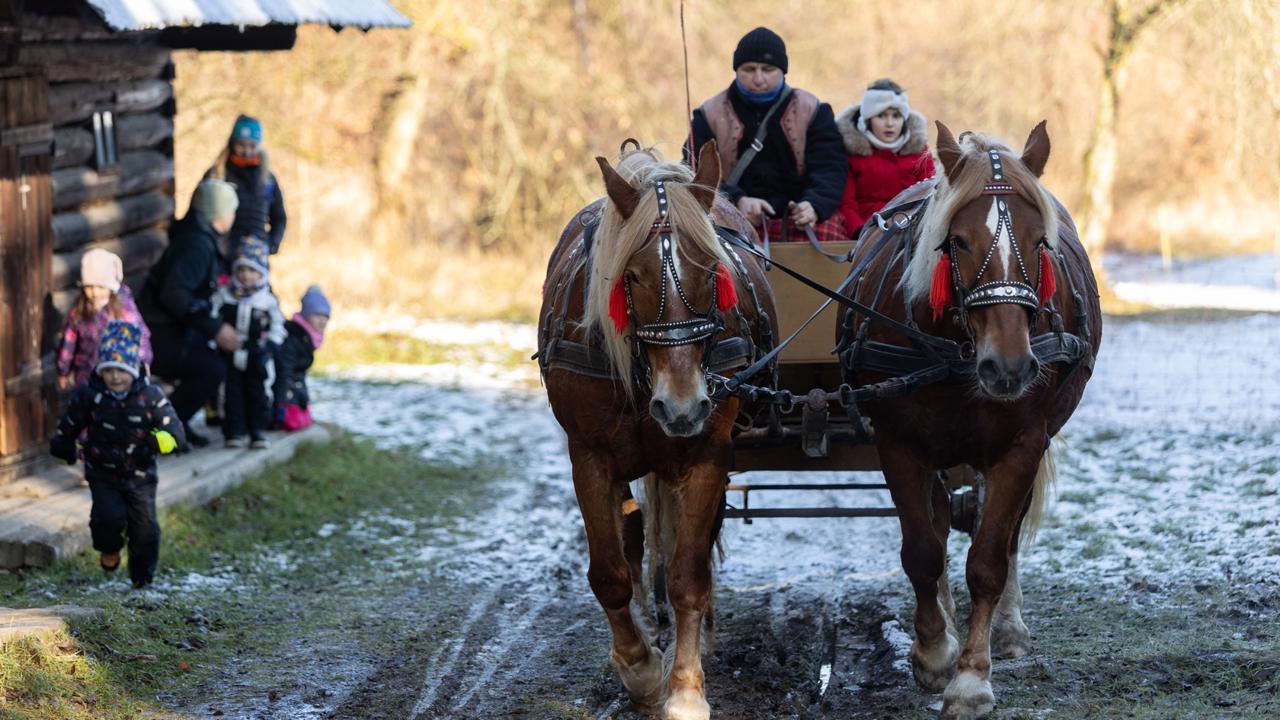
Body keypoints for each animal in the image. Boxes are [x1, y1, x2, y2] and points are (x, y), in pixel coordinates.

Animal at [535, 141, 773, 717]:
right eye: (634, 276)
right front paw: (639, 668)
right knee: (633, 539)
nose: (682, 407)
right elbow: (609, 572)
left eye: (712, 270)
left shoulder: (708, 454)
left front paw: (685, 689)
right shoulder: (589, 456)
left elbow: (689, 576)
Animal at [839, 120, 1100, 712]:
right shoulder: (899, 444)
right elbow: (922, 551)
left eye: (1039, 241)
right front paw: (935, 654)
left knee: (1005, 532)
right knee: (937, 526)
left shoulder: (1022, 445)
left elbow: (988, 560)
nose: (1008, 366)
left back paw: (1007, 628)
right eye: (957, 241)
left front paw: (972, 679)